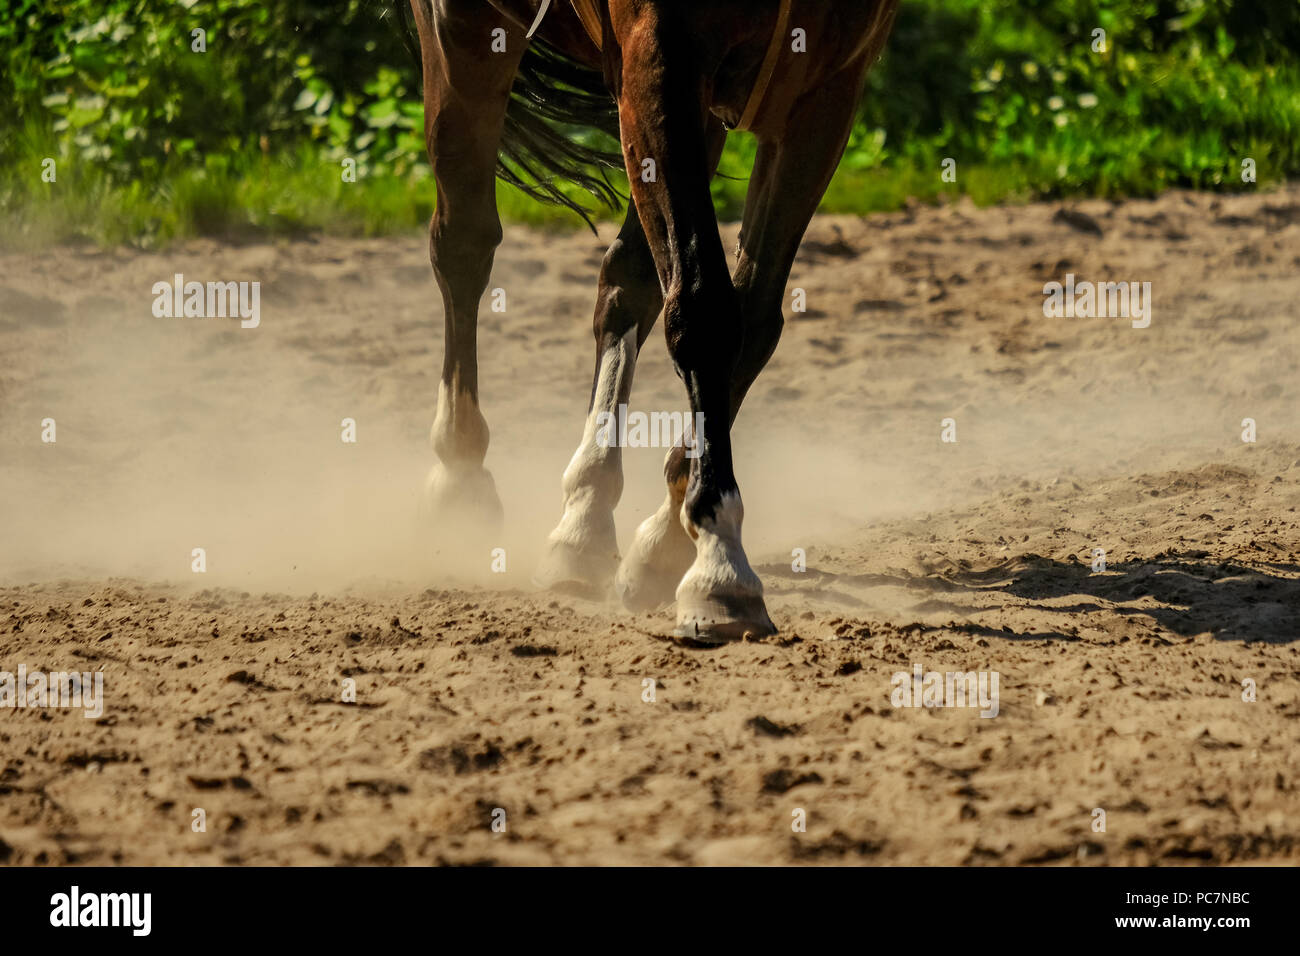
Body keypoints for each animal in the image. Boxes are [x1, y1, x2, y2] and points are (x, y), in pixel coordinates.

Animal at [403, 0, 899, 642]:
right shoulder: (658, 60)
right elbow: (703, 305)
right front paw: (719, 566)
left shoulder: (827, 88)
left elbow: (753, 320)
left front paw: (668, 540)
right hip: (461, 31)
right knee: (464, 243)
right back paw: (462, 474)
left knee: (625, 279)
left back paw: (584, 522)